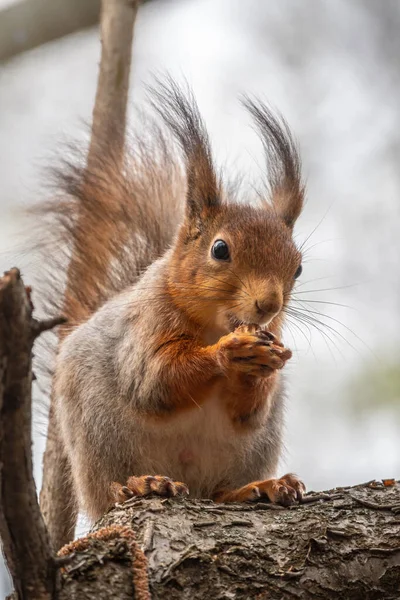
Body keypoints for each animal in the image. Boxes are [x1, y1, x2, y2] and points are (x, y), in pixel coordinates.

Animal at [42, 82, 306, 524]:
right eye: (220, 249)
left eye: (299, 267)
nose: (269, 304)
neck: (217, 323)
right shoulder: (145, 328)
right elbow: (156, 380)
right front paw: (229, 352)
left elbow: (248, 411)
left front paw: (263, 362)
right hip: (99, 438)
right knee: (108, 492)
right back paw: (140, 484)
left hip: (253, 448)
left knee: (218, 491)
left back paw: (259, 488)